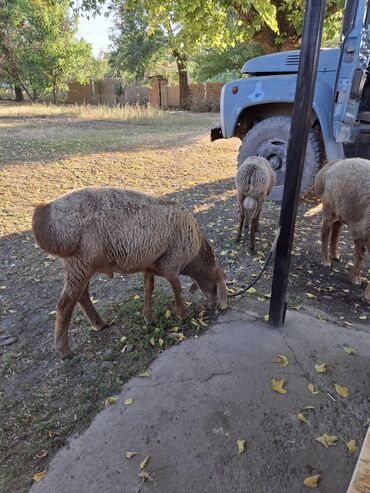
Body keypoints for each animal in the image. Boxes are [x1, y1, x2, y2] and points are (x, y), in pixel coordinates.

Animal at [31, 187, 227, 358]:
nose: (216, 306)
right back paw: (64, 349)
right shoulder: (172, 263)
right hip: (81, 262)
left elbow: (149, 288)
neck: (195, 256)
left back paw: (99, 323)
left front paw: (149, 318)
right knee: (65, 304)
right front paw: (183, 314)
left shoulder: (150, 265)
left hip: (79, 265)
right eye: (217, 287)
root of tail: (44, 212)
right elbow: (177, 289)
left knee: (81, 296)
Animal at [316, 158, 370, 300]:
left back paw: (335, 254)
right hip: (329, 206)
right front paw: (360, 283)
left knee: (337, 227)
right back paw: (325, 260)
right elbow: (361, 254)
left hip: (342, 209)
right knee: (325, 231)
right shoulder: (362, 230)